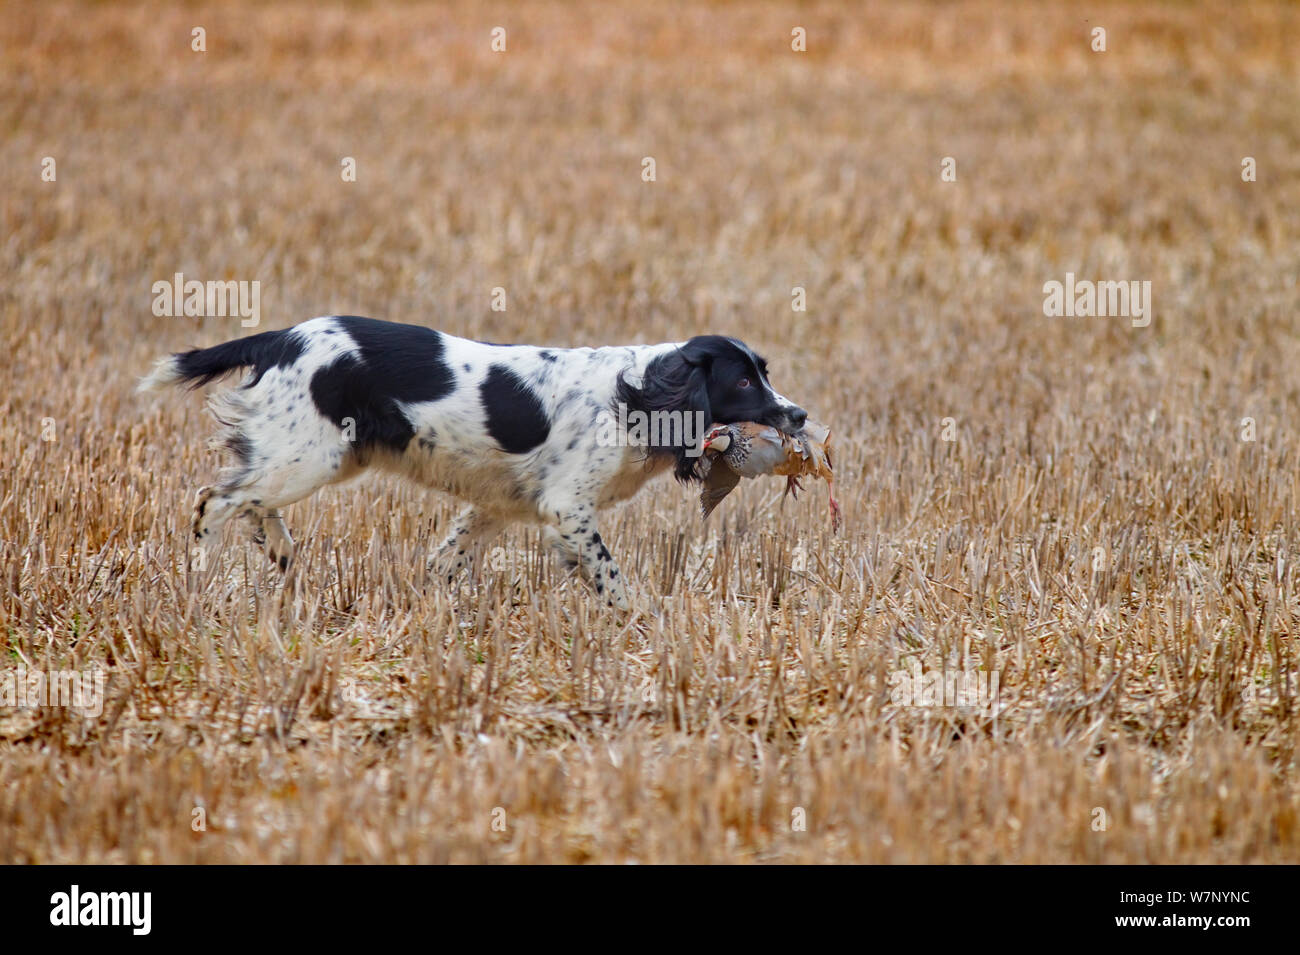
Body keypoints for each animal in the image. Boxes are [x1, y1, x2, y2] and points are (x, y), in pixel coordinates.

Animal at [142, 317, 800, 608]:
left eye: (764, 373)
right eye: (743, 381)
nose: (797, 415)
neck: (632, 394)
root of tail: (280, 337)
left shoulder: (499, 504)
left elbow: (444, 560)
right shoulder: (568, 507)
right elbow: (613, 579)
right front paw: (645, 621)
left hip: (318, 457)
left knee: (251, 501)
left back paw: (282, 555)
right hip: (310, 456)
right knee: (215, 501)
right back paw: (198, 577)